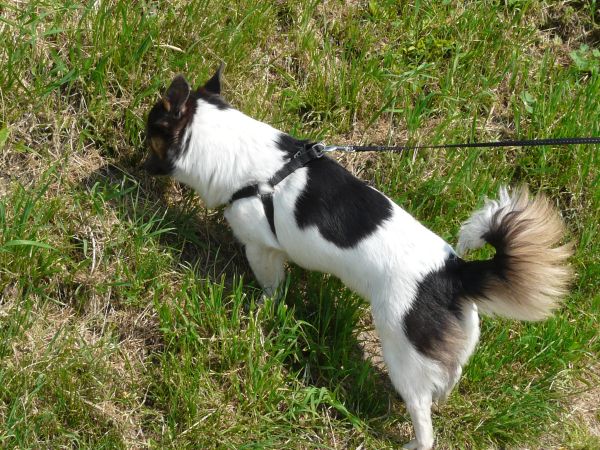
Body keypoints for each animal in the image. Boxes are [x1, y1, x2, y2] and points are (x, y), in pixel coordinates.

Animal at [143, 66, 573, 450]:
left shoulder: (263, 249)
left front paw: (258, 308)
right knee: (447, 376)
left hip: (401, 350)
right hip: (455, 340)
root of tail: (453, 273)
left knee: (423, 418)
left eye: (149, 133)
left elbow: (271, 289)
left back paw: (413, 442)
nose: (139, 163)